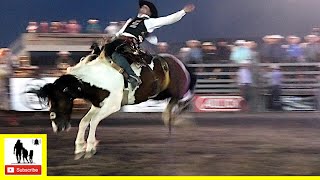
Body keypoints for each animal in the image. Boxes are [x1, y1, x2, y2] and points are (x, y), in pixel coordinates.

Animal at [35, 48, 195, 159]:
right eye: (50, 100)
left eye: (60, 99)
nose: (57, 127)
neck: (97, 77)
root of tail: (180, 64)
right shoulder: (98, 104)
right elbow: (84, 121)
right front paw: (80, 147)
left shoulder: (112, 106)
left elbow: (93, 121)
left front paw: (90, 147)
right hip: (164, 94)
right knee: (173, 108)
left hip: (177, 91)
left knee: (182, 101)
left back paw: (178, 120)